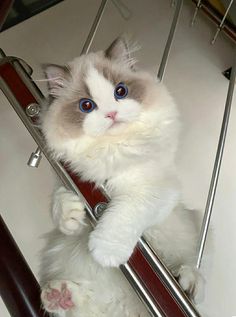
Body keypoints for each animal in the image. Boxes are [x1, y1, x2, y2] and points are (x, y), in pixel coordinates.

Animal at [39, 37, 206, 316]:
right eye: (87, 105)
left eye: (120, 92)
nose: (111, 114)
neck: (111, 147)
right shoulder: (70, 181)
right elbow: (60, 203)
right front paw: (70, 214)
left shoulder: (157, 191)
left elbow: (124, 213)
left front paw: (106, 251)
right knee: (79, 303)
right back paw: (59, 296)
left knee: (190, 268)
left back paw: (188, 282)